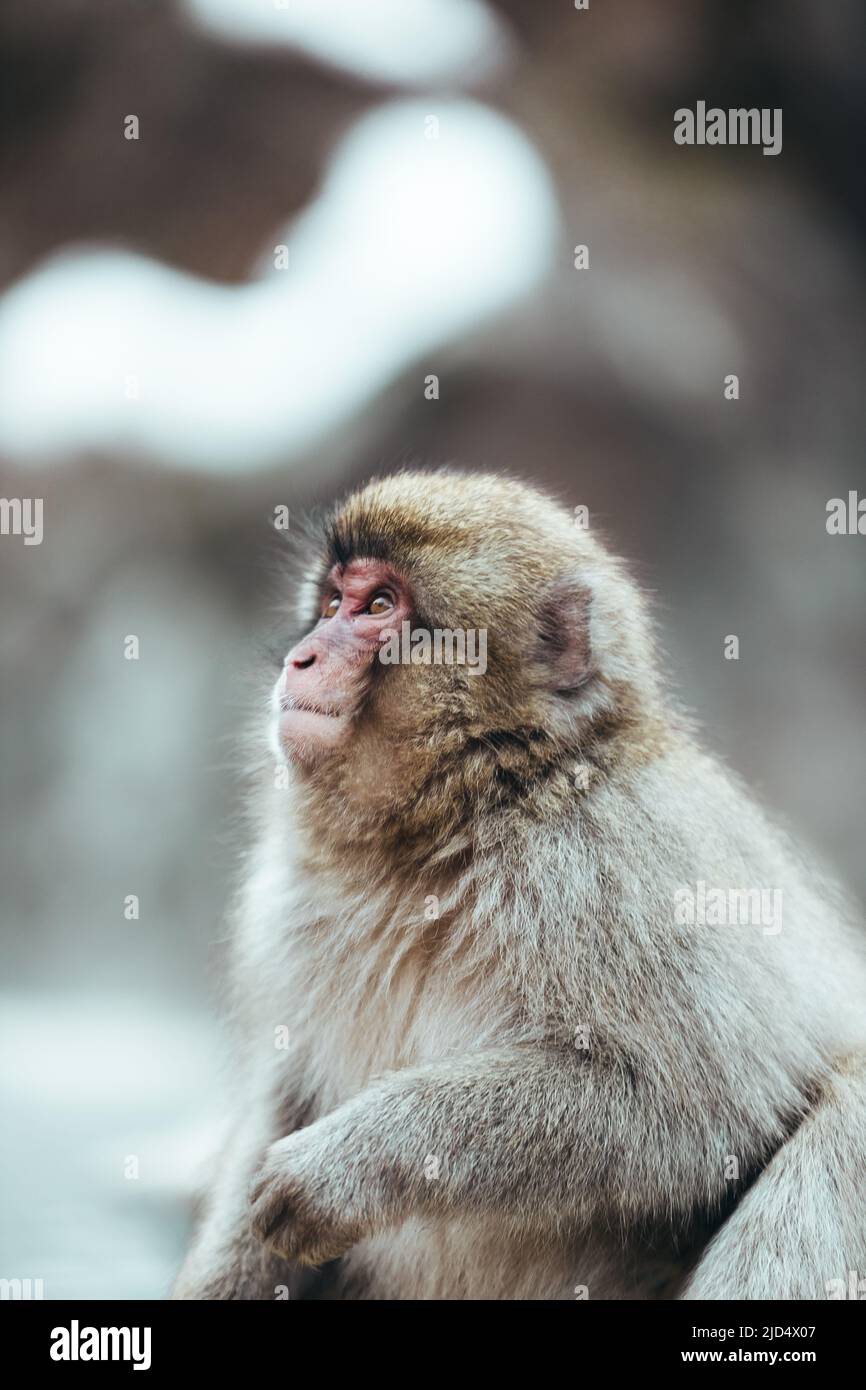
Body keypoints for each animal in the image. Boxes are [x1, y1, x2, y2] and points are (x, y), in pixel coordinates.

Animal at [173, 469, 866, 1301]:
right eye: (335, 601)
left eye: (380, 607)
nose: (303, 657)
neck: (471, 816)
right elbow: (284, 1095)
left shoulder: (625, 861)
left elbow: (686, 1110)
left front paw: (348, 1166)